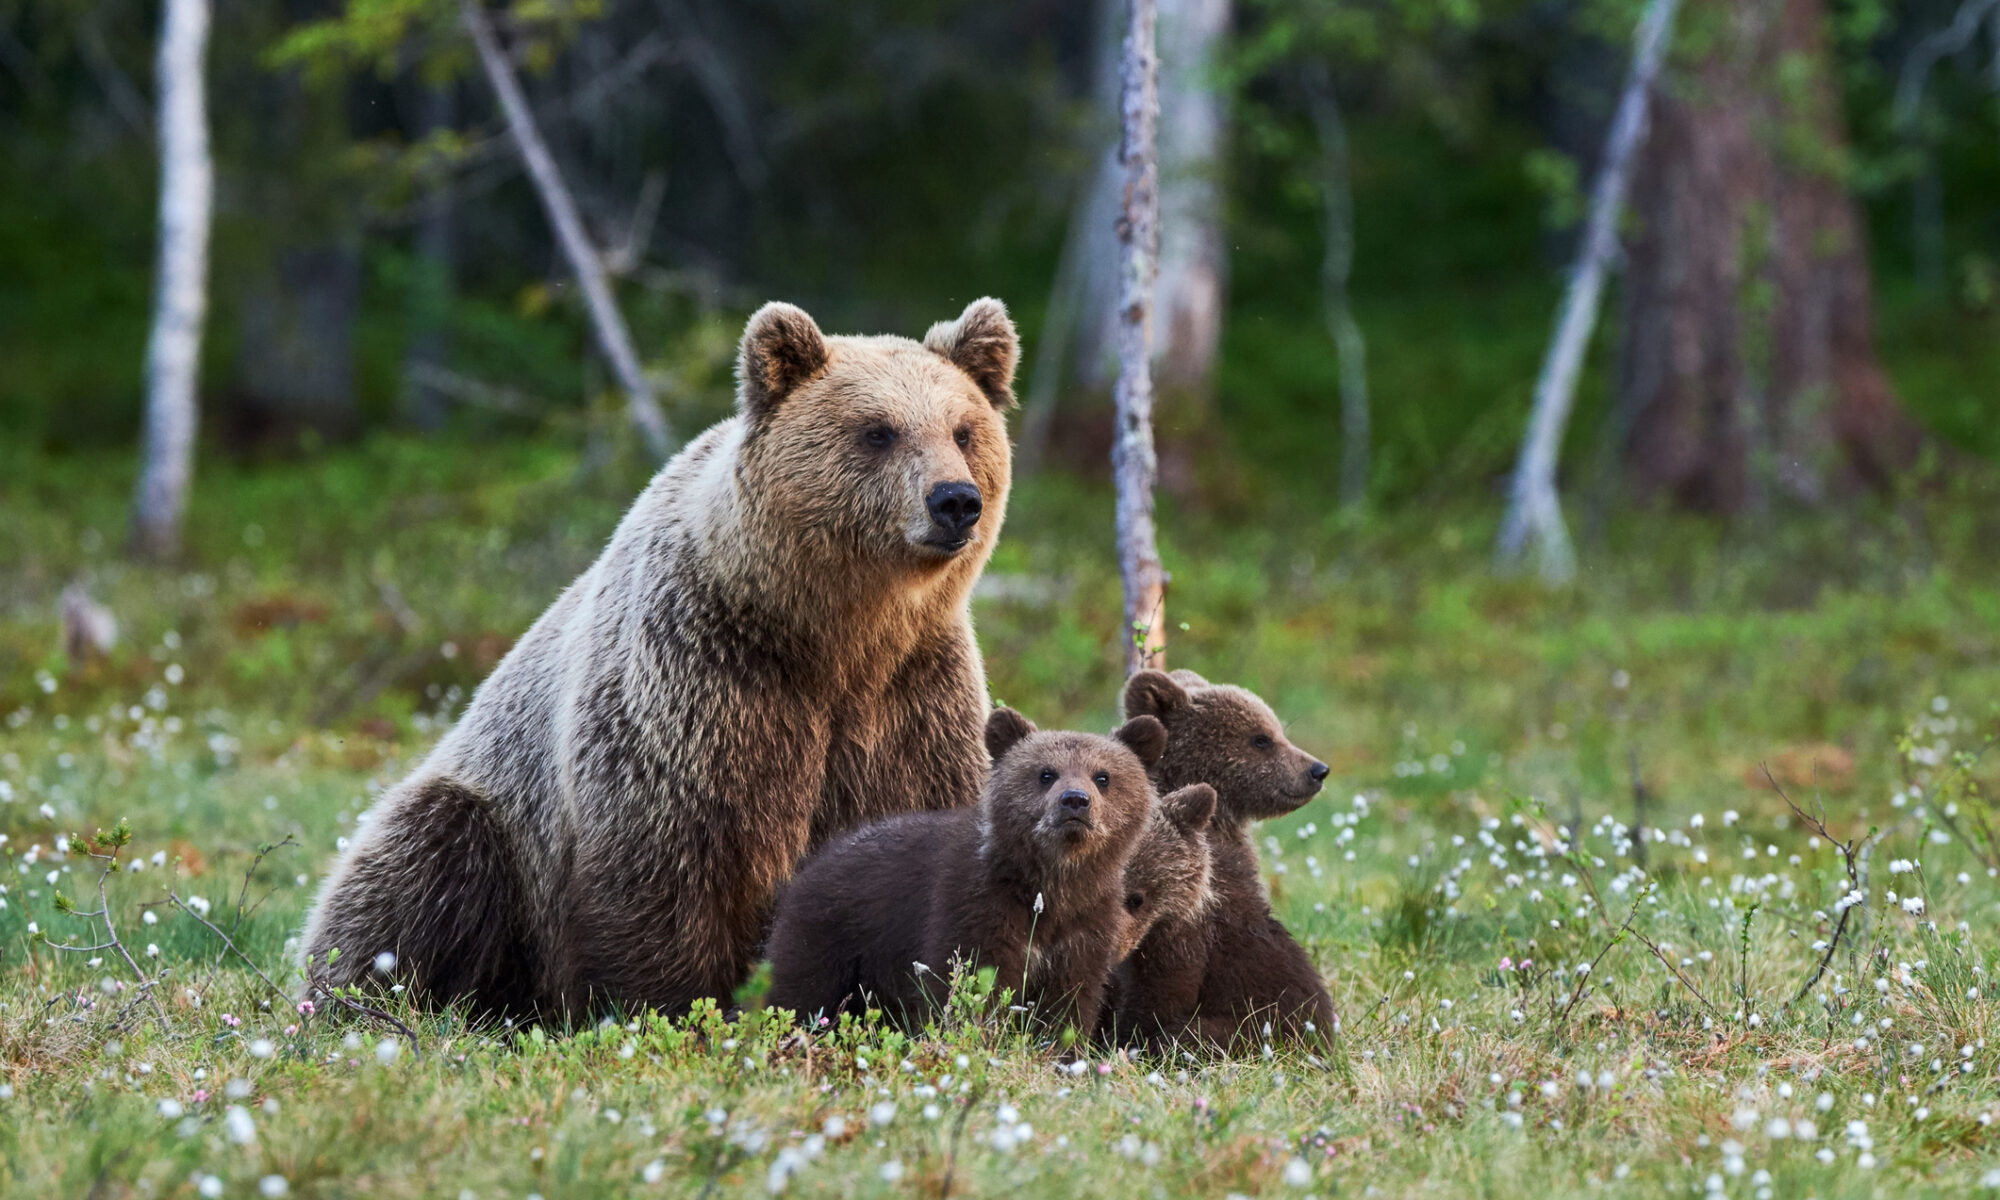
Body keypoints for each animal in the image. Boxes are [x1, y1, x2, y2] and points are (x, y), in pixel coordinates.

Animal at [298, 298, 1020, 1022]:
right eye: (878, 431)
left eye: (962, 430)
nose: (954, 500)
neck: (834, 638)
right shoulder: (701, 683)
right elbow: (667, 865)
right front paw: (672, 1009)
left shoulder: (913, 701)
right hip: (493, 824)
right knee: (418, 868)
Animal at [762, 708, 1184, 1039]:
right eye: (1046, 774)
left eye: (1103, 776)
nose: (1075, 802)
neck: (1051, 885)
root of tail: (813, 863)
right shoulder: (975, 908)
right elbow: (969, 985)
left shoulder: (1084, 927)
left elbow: (1067, 1004)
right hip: (831, 936)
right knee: (799, 994)